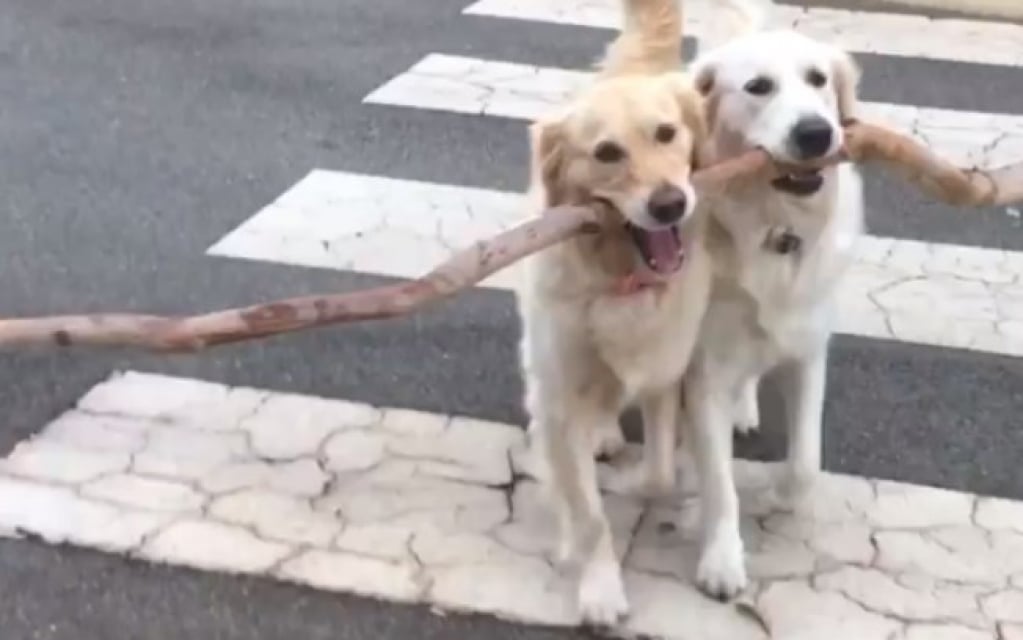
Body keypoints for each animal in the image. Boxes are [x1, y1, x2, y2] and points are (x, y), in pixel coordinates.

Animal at [519, 0, 712, 621]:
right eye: (607, 153)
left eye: (667, 133)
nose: (670, 203)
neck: (620, 275)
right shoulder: (558, 399)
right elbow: (586, 514)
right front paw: (599, 585)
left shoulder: (661, 371)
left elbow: (659, 475)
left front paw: (632, 485)